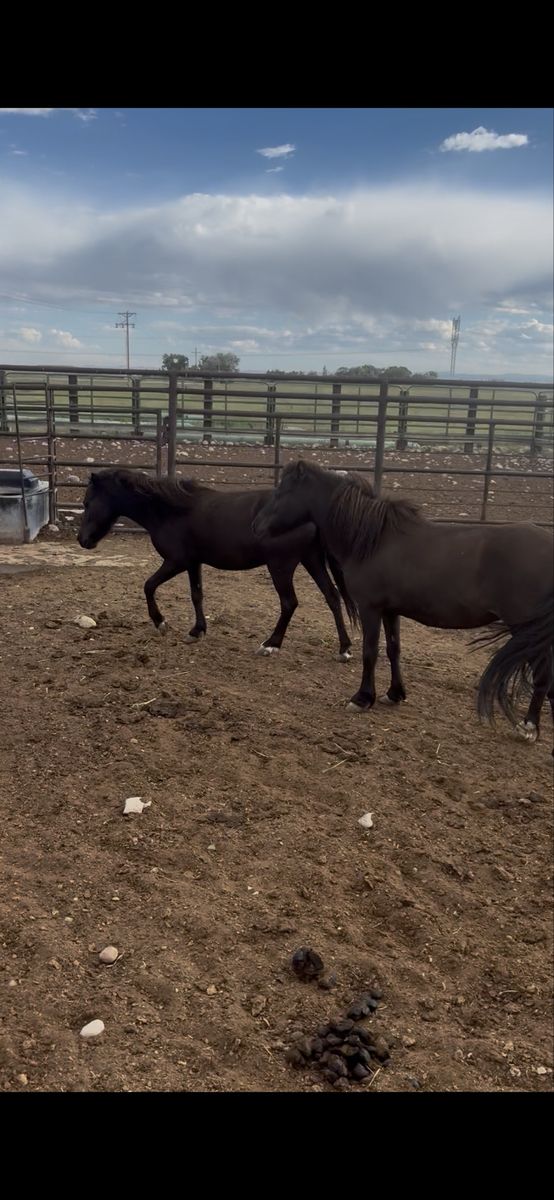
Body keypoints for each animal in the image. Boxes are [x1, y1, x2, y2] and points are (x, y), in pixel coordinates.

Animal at [77, 468, 355, 660]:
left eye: (87, 503)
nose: (82, 540)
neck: (170, 511)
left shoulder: (175, 561)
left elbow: (148, 585)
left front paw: (161, 622)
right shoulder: (193, 563)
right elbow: (196, 595)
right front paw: (196, 631)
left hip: (281, 565)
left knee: (289, 603)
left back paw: (270, 645)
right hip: (312, 560)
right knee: (332, 597)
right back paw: (344, 649)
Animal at [253, 460, 554, 746]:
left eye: (281, 491)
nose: (257, 526)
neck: (373, 540)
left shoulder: (371, 608)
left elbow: (370, 652)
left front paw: (362, 698)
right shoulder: (390, 611)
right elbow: (393, 650)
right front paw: (394, 693)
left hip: (525, 629)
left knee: (542, 675)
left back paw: (528, 727)